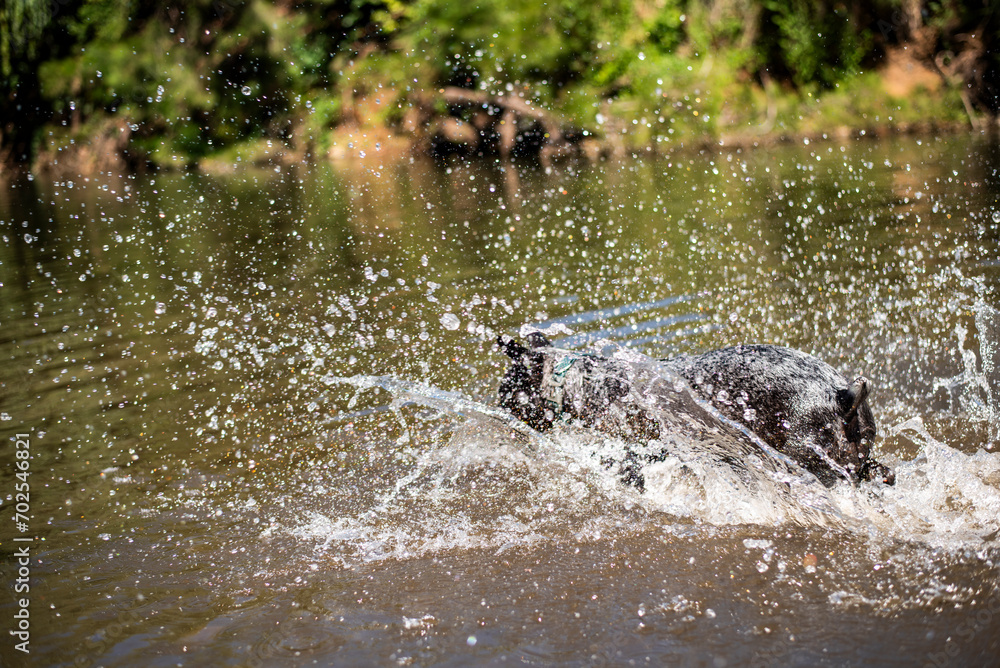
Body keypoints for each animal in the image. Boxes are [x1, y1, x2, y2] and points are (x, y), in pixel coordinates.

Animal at [496, 332, 896, 486]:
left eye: (506, 388)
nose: (497, 405)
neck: (585, 381)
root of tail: (842, 395)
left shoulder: (641, 447)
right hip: (856, 459)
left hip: (809, 461)